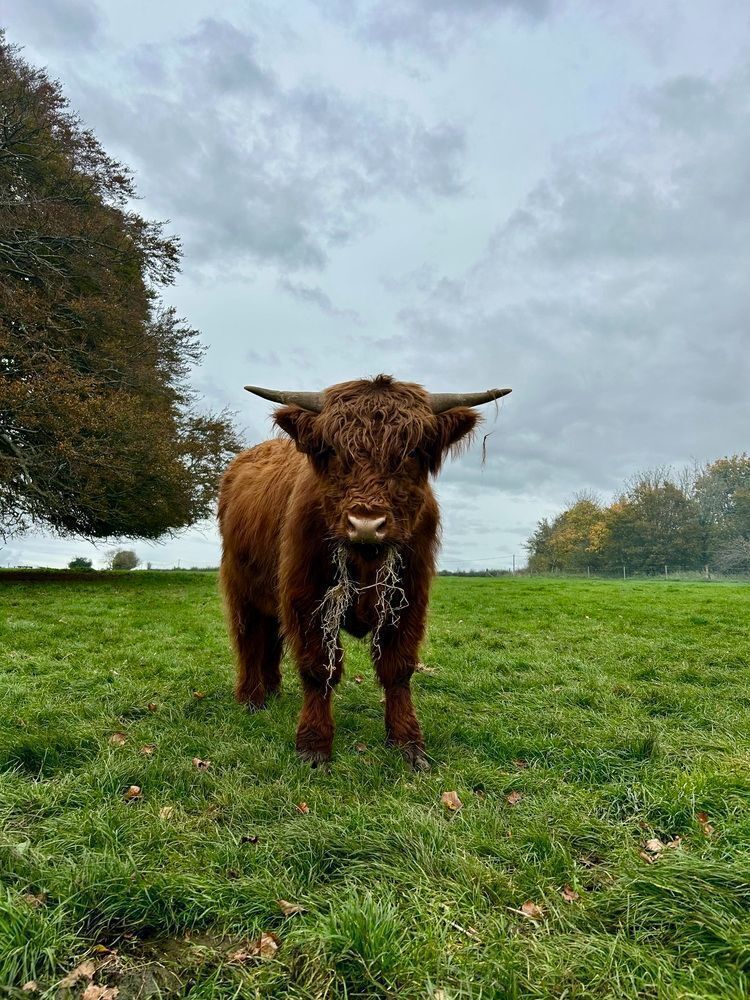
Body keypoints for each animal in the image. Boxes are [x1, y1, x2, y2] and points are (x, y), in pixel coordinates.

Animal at [218, 374, 510, 769]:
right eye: (331, 450)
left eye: (412, 452)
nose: (367, 524)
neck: (366, 558)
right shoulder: (305, 597)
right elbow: (319, 667)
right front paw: (314, 745)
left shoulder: (408, 600)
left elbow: (398, 668)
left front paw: (407, 743)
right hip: (242, 585)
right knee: (249, 639)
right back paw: (252, 699)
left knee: (271, 640)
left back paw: (274, 690)